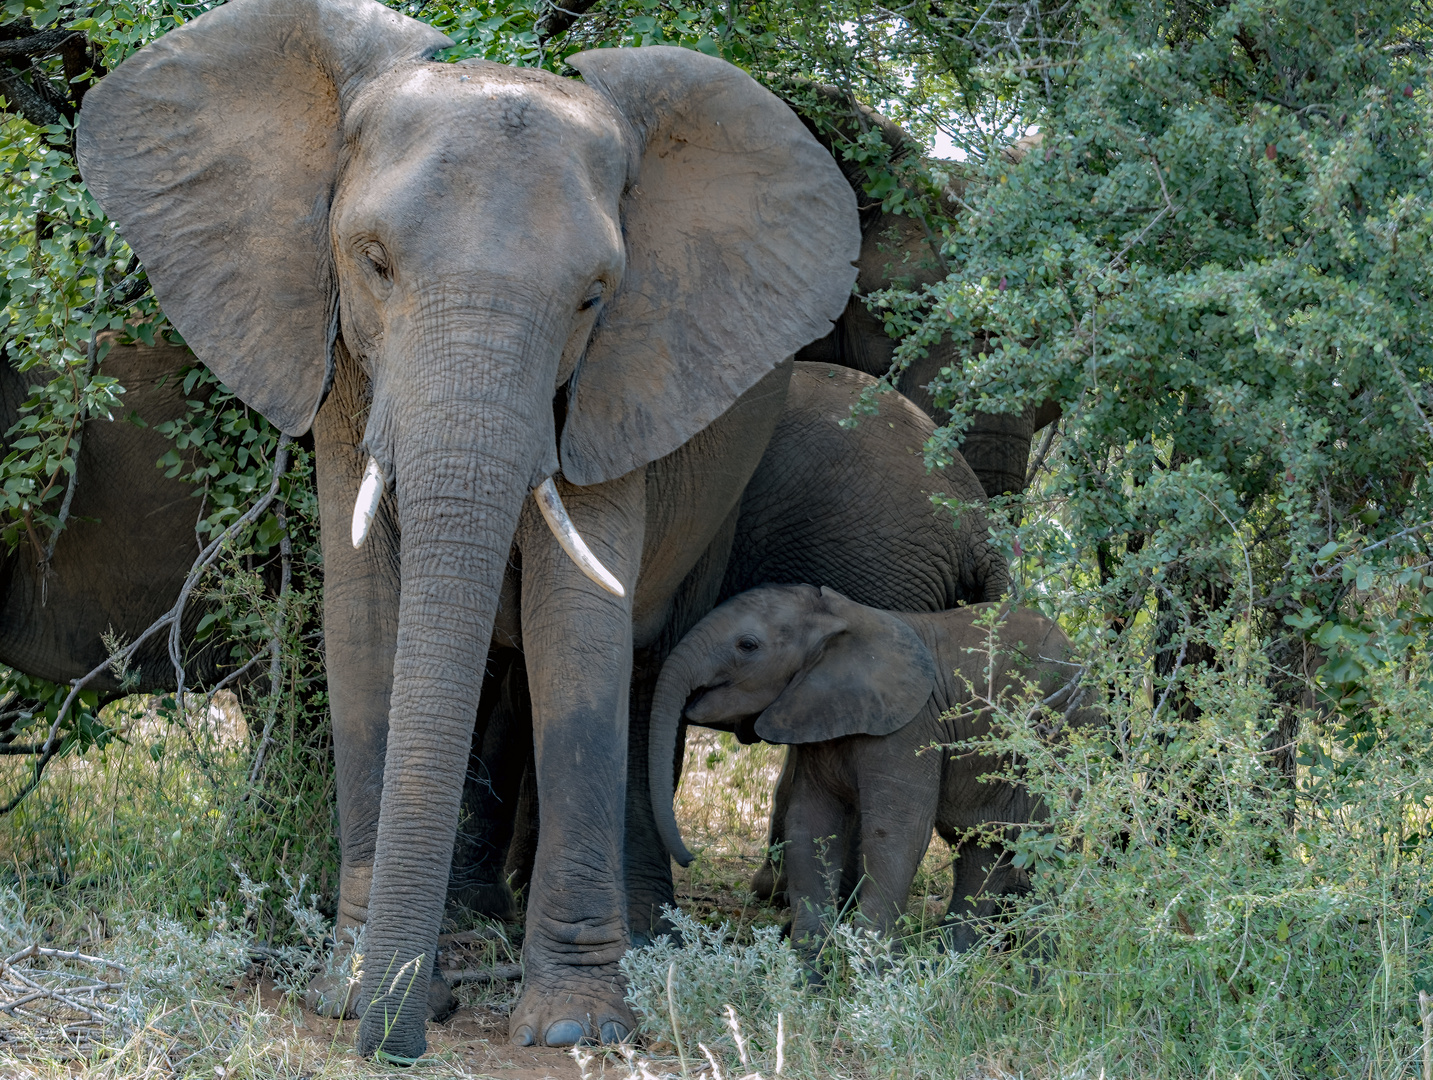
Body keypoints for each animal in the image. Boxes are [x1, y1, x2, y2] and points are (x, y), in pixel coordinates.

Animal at [78, 0, 859, 1054]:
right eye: (371, 262)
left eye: (593, 297)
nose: (402, 1040)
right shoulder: (343, 363)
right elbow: (366, 619)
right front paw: (350, 995)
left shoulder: (617, 383)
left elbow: (578, 635)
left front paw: (572, 1029)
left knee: (643, 666)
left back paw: (645, 939)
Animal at [650, 590, 1083, 951]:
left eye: (747, 645)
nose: (689, 858)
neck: (838, 617)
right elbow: (810, 827)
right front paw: (807, 973)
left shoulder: (909, 728)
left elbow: (893, 834)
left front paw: (870, 971)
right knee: (980, 847)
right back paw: (950, 961)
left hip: (1063, 736)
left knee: (1048, 845)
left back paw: (1042, 965)